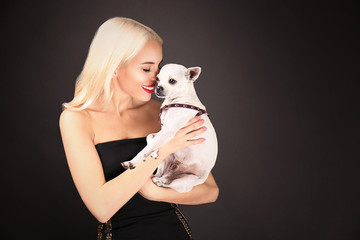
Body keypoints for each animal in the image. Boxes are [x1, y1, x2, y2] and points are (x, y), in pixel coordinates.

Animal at [121, 62, 218, 192]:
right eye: (157, 79)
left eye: (172, 81)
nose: (158, 88)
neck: (174, 102)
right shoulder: (163, 130)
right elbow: (150, 137)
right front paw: (154, 152)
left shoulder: (168, 131)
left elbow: (145, 149)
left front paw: (133, 162)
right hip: (167, 160)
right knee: (161, 174)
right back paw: (159, 176)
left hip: (186, 182)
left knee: (169, 184)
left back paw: (161, 181)